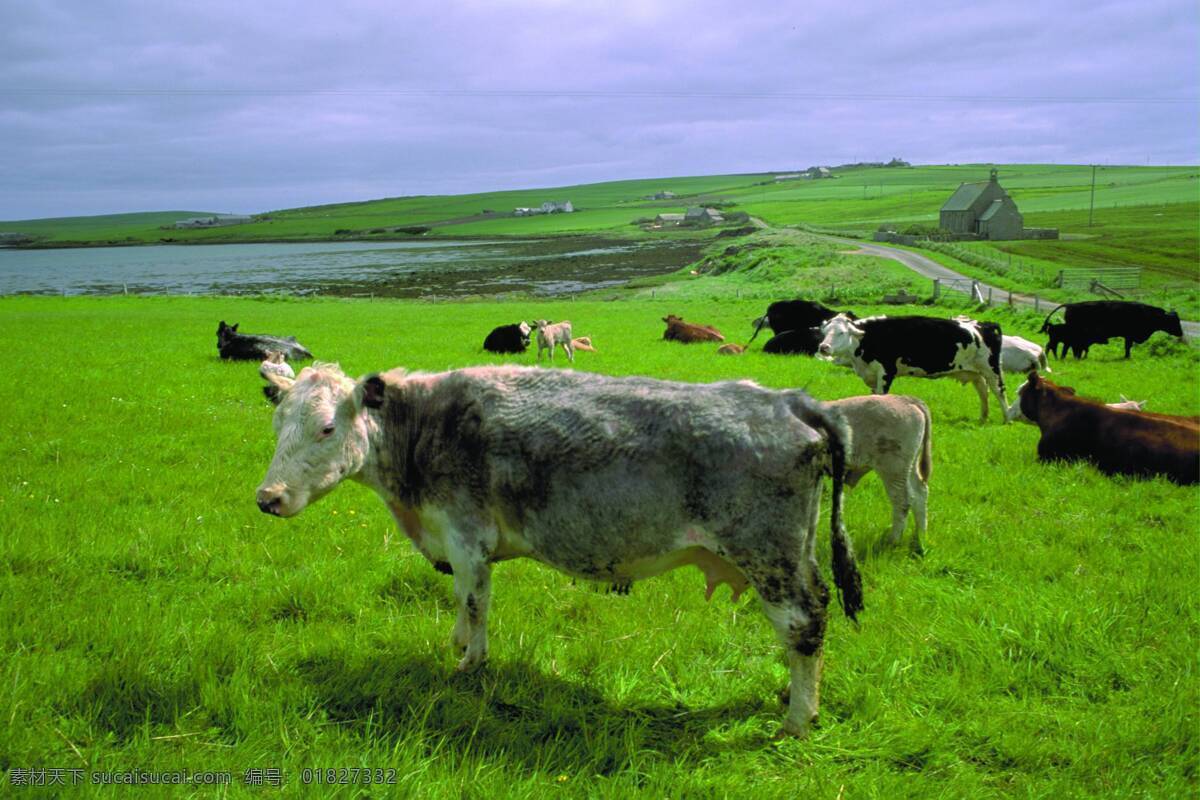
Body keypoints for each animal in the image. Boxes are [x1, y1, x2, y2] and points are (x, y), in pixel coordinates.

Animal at [258, 362, 864, 738]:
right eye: (278, 421)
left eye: (327, 427)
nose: (268, 497)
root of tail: (789, 401)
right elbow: (459, 603)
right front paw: (456, 643)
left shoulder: (467, 537)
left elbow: (475, 602)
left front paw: (469, 663)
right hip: (797, 553)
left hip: (770, 555)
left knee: (804, 625)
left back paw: (797, 719)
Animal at [816, 314, 1012, 422]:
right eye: (825, 333)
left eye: (842, 332)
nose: (823, 347)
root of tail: (984, 324)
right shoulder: (872, 375)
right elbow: (873, 397)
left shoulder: (886, 372)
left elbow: (881, 397)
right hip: (975, 372)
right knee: (983, 391)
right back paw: (983, 417)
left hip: (992, 369)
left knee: (999, 391)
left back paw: (1007, 418)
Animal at [830, 395, 931, 556]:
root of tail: (905, 399)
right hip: (908, 468)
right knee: (920, 494)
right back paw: (919, 538)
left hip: (893, 468)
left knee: (902, 502)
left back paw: (893, 540)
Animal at [1036, 299, 1185, 359]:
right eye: (1174, 321)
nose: (1181, 333)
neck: (1148, 314)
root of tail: (1071, 305)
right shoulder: (1129, 336)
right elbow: (1128, 348)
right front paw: (1127, 357)